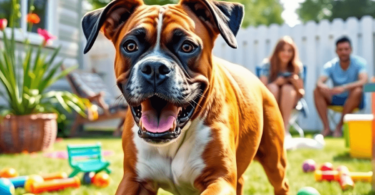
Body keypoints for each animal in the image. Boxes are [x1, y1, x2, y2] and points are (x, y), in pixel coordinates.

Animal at [81, 0, 288, 194]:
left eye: (187, 47)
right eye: (130, 46)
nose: (154, 67)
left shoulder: (219, 180)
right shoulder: (134, 181)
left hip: (274, 160)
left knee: (281, 183)